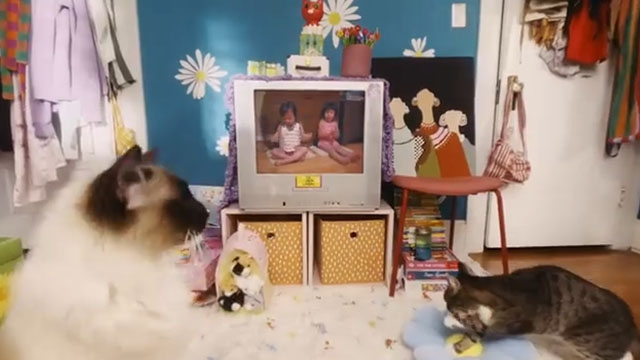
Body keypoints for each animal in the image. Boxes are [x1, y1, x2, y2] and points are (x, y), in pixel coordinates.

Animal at [444, 262, 640, 358]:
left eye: (449, 305)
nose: (447, 312)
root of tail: (633, 327)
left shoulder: (511, 322)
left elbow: (483, 328)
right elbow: (474, 333)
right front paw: (460, 344)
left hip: (595, 350)